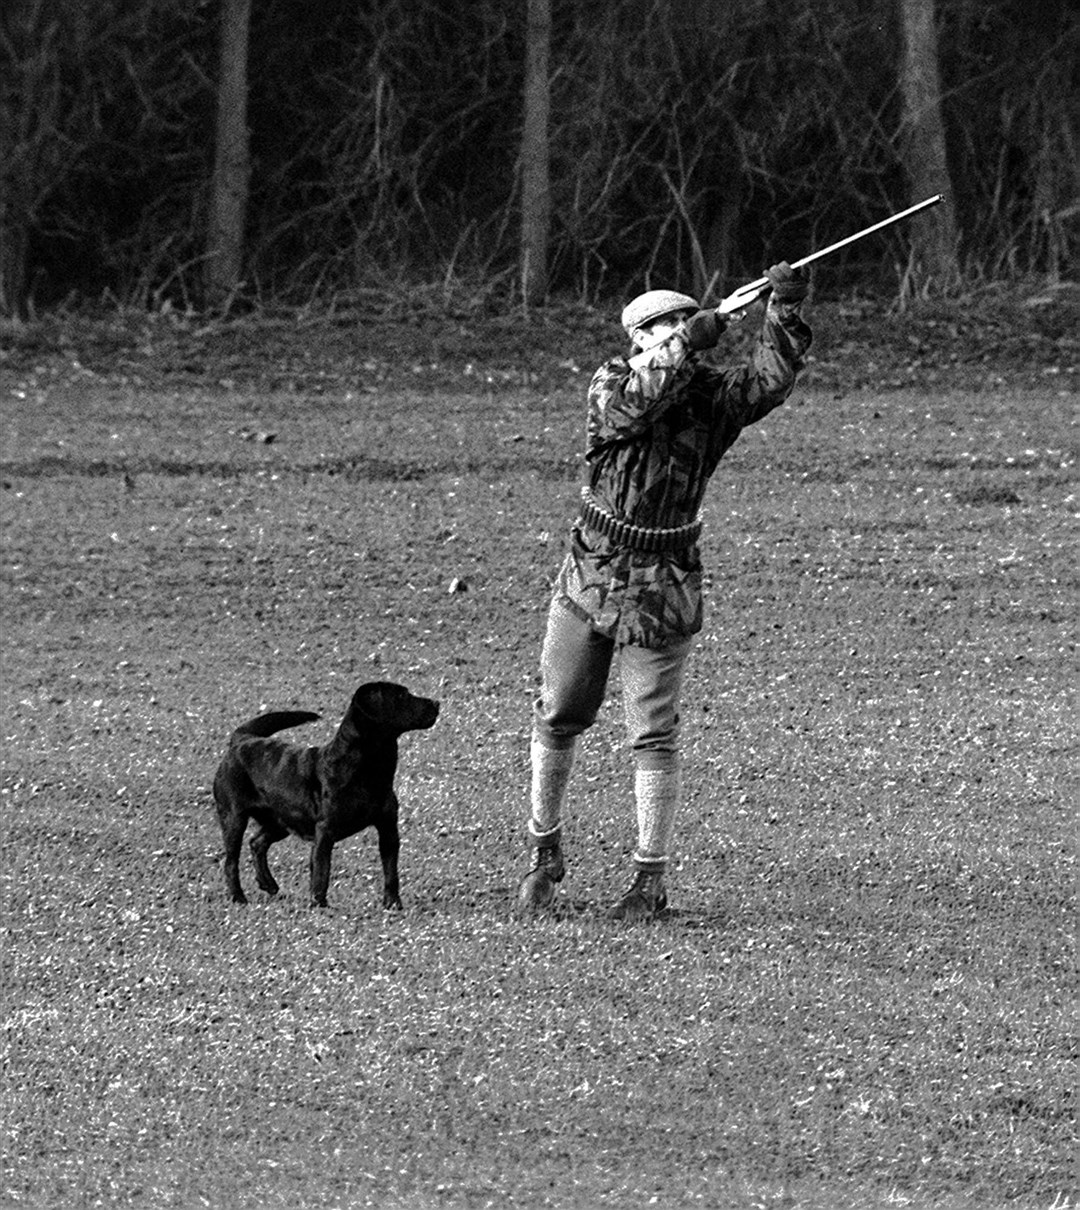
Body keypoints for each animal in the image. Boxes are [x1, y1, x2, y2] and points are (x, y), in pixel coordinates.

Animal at [210, 682, 437, 909]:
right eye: (401, 696)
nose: (436, 702)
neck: (368, 769)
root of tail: (242, 739)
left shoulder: (388, 827)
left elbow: (391, 871)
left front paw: (393, 904)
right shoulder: (325, 830)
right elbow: (321, 871)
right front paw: (320, 906)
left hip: (281, 819)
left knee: (257, 843)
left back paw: (268, 884)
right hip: (234, 818)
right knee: (231, 862)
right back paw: (238, 897)